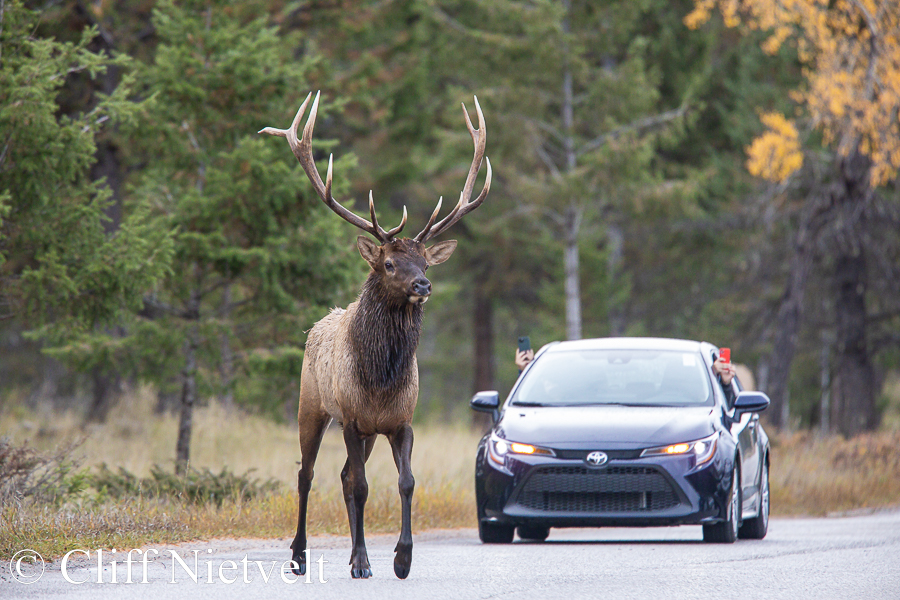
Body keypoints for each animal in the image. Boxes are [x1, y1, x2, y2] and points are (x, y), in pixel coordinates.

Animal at [258, 91, 492, 580]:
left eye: (425, 261)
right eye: (388, 263)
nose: (423, 285)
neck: (382, 381)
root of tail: (317, 324)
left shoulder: (401, 422)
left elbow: (405, 482)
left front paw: (401, 559)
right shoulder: (351, 417)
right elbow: (364, 487)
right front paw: (367, 560)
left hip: (363, 433)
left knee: (344, 476)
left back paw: (349, 555)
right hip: (312, 407)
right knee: (308, 475)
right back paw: (300, 555)